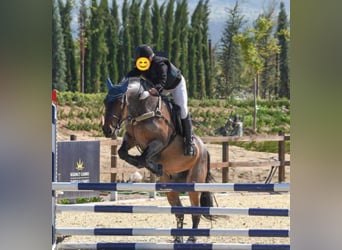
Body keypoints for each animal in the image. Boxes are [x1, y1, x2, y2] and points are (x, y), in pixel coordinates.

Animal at [101, 77, 216, 243]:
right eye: (105, 101)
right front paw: (153, 166)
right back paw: (178, 239)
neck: (142, 111)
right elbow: (122, 153)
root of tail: (205, 150)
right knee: (179, 211)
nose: (107, 130)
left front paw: (154, 166)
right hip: (171, 188)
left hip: (194, 182)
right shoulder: (131, 139)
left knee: (195, 211)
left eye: (119, 102)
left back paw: (191, 239)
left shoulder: (159, 142)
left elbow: (143, 158)